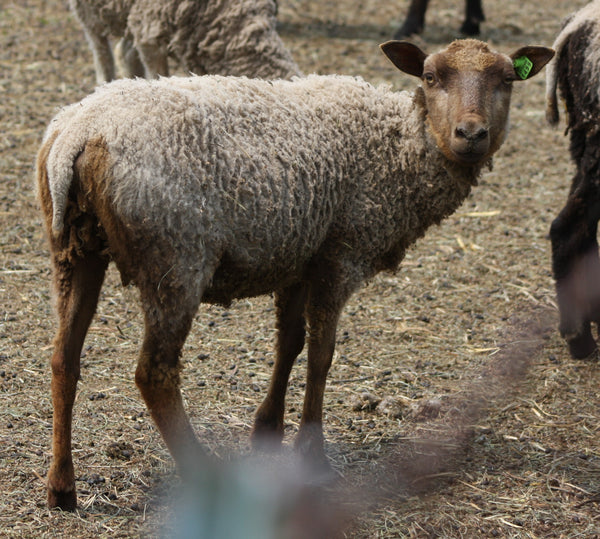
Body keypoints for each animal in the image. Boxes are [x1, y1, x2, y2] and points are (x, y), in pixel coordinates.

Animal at [36, 38, 552, 510]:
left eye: (507, 80)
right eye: (430, 77)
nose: (471, 134)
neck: (400, 146)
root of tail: (78, 134)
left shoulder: (301, 257)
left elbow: (290, 343)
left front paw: (268, 429)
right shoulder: (342, 255)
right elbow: (322, 355)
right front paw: (311, 452)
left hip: (74, 251)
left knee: (64, 359)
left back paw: (61, 487)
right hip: (176, 259)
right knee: (154, 374)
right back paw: (202, 474)